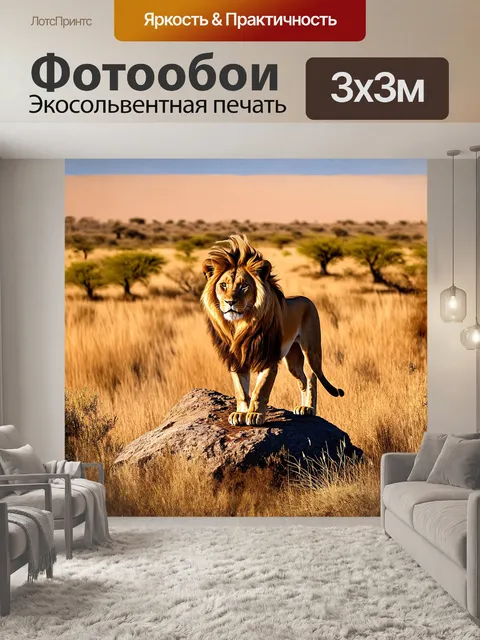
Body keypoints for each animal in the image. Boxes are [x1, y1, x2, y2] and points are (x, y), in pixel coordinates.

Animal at [201, 235, 344, 427]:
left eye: (244, 286)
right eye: (223, 285)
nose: (230, 302)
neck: (240, 325)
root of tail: (306, 299)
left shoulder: (268, 358)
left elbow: (260, 390)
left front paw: (254, 415)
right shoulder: (236, 359)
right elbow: (241, 390)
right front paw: (240, 413)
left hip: (311, 350)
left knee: (312, 377)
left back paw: (309, 409)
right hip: (292, 358)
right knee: (302, 379)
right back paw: (301, 408)